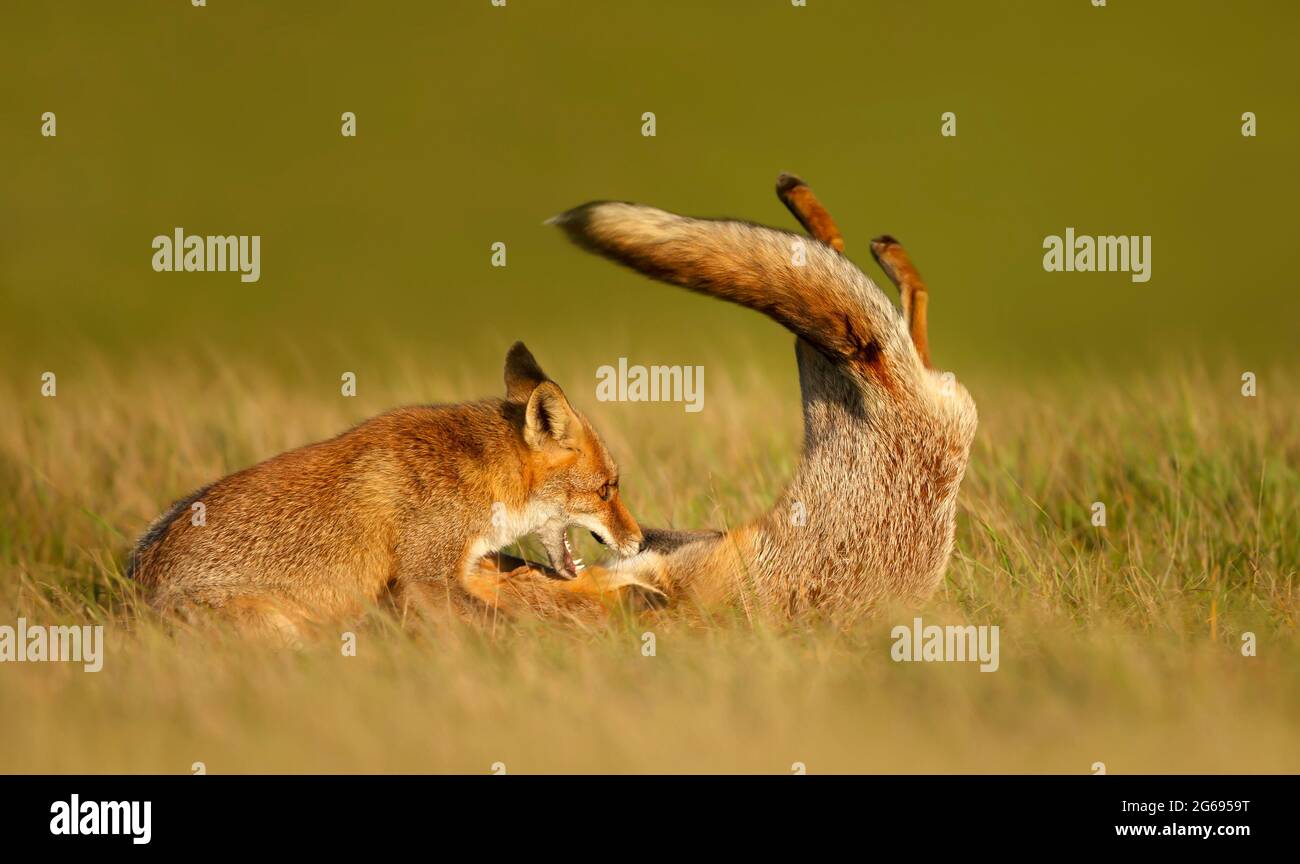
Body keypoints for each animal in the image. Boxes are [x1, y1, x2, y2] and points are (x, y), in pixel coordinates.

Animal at [126, 340, 644, 636]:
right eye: (607, 489)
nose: (640, 543)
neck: (481, 476)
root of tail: (131, 596)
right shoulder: (426, 577)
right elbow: (506, 623)